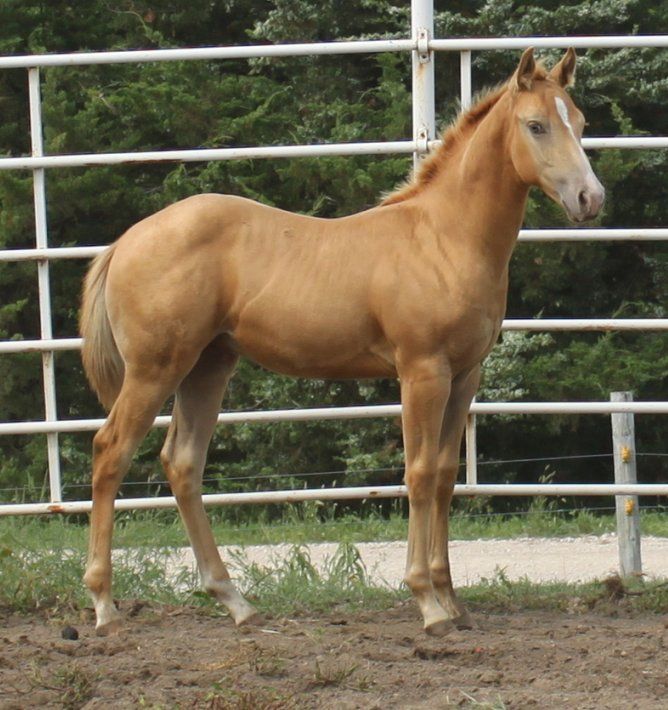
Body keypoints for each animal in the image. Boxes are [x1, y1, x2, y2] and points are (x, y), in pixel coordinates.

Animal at [79, 50, 604, 640]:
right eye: (536, 125)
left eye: (580, 122)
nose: (590, 198)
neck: (444, 238)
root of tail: (126, 241)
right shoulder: (422, 372)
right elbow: (420, 473)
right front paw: (427, 604)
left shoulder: (465, 376)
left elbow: (446, 475)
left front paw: (452, 600)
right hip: (155, 369)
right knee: (111, 451)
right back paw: (104, 605)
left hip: (208, 366)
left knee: (183, 463)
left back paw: (236, 601)